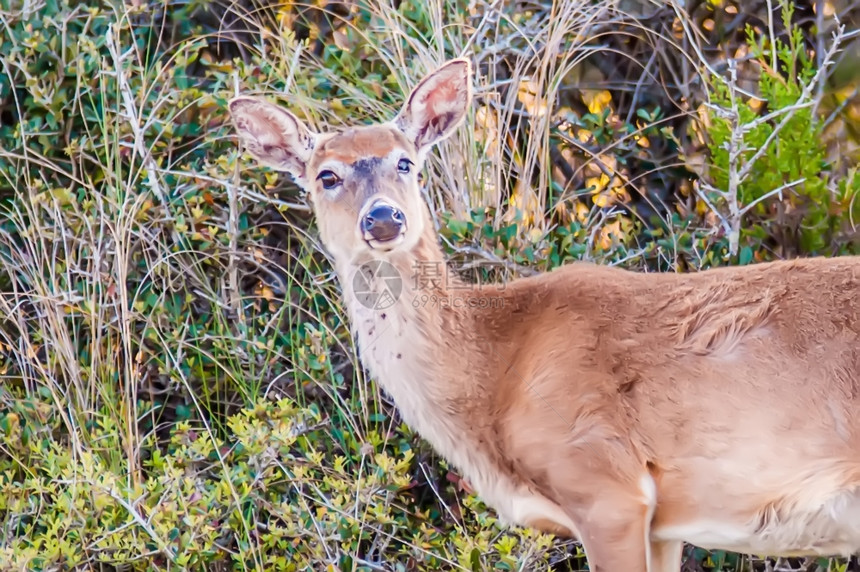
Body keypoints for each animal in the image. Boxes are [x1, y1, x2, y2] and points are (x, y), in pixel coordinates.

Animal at [228, 59, 860, 572]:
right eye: (326, 175)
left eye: (406, 162)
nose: (383, 218)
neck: (493, 370)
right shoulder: (663, 526)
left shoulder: (604, 481)